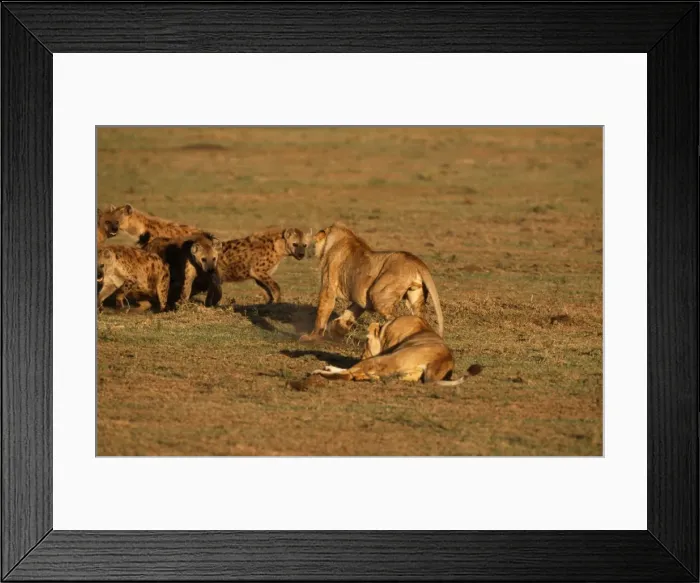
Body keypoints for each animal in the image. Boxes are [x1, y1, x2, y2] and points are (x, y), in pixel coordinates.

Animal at [299, 222, 444, 342]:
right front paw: (336, 330)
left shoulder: (328, 286)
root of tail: (417, 262)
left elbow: (322, 312)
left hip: (378, 294)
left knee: (395, 319)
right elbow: (349, 313)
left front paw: (311, 337)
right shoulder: (362, 297)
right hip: (415, 298)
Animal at [312, 315, 481, 385]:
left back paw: (319, 372)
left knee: (349, 374)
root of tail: (440, 360)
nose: (362, 355)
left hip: (383, 359)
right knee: (355, 374)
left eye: (366, 342)